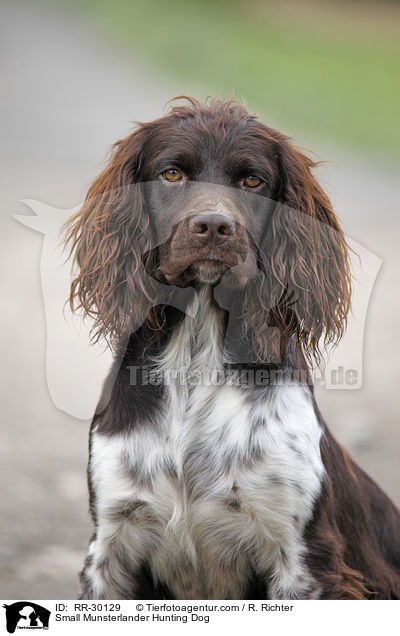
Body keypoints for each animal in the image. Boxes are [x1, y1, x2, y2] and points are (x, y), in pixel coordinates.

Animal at [65, 97, 400, 600]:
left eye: (252, 180)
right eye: (171, 173)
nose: (213, 226)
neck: (197, 353)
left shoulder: (305, 561)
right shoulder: (111, 546)